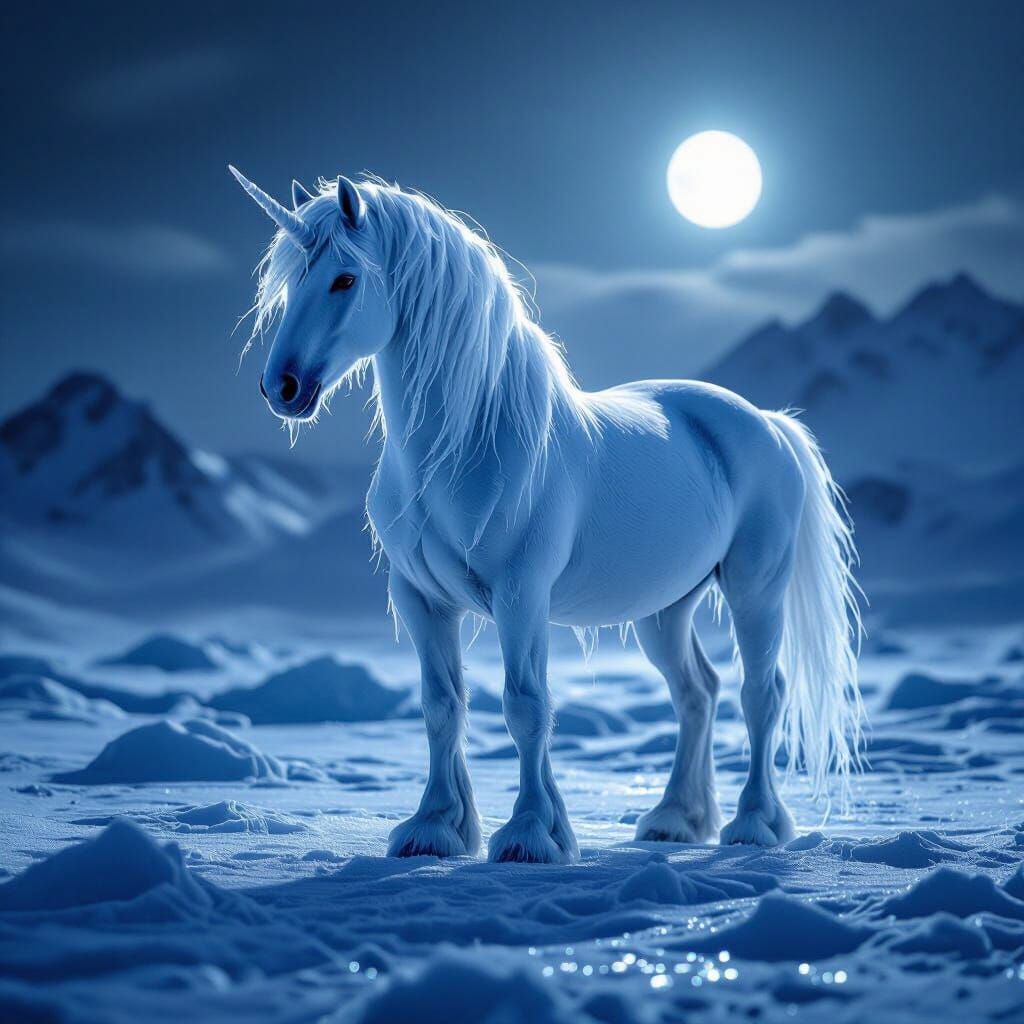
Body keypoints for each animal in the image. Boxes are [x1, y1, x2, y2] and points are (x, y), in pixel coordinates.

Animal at [230, 166, 864, 863]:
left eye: (345, 279)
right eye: (292, 281)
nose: (282, 387)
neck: (464, 445)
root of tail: (769, 423)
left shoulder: (521, 594)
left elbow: (525, 706)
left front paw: (531, 834)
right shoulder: (420, 597)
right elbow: (440, 706)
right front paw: (435, 828)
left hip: (755, 588)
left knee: (760, 694)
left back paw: (754, 823)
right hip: (666, 608)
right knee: (696, 692)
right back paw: (674, 819)